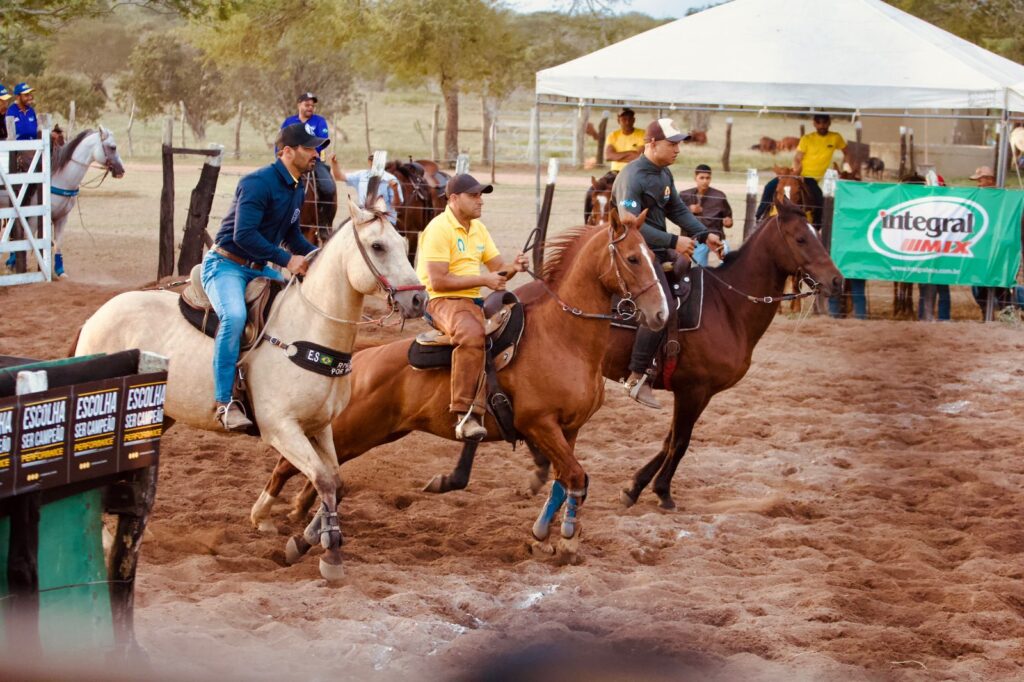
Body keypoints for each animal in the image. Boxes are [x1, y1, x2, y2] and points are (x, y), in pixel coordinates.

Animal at [73, 197, 423, 577]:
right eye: (378, 246)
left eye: (403, 243)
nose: (418, 300)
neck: (307, 330)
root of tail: (94, 319)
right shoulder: (281, 429)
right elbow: (324, 481)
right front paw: (329, 553)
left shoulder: (320, 426)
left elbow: (335, 482)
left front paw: (301, 538)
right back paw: (104, 540)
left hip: (159, 417)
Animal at [251, 209, 671, 561]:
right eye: (633, 258)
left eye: (653, 254)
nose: (661, 314)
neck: (563, 336)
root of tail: (361, 359)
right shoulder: (541, 424)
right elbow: (576, 476)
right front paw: (567, 538)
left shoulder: (570, 428)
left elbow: (565, 478)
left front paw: (544, 533)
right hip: (352, 429)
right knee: (298, 468)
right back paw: (271, 515)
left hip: (368, 433)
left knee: (322, 480)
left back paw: (302, 530)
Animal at [413, 199, 839, 507]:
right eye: (801, 239)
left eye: (816, 234)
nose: (836, 281)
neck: (727, 305)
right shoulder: (694, 390)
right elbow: (679, 442)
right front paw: (658, 491)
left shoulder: (693, 393)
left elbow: (670, 440)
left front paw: (637, 486)